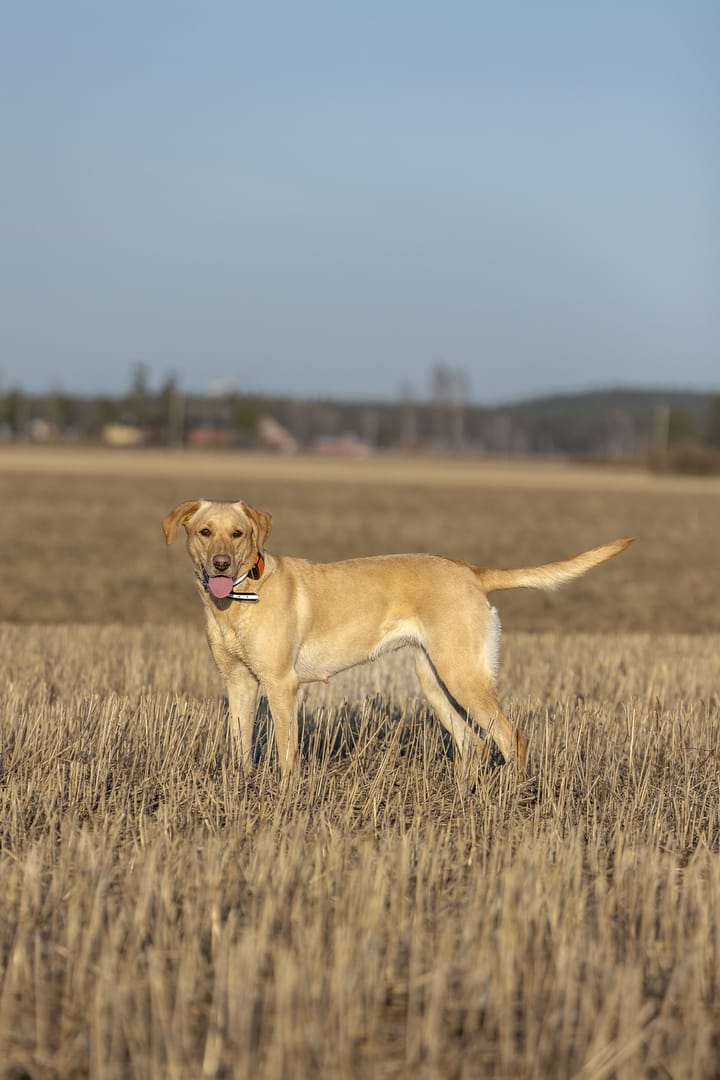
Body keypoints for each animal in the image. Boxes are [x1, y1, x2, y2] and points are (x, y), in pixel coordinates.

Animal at [162, 496, 634, 777]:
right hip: (434, 680)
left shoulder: (281, 685)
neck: (238, 601)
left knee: (510, 739)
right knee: (474, 746)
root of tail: (470, 571)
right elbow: (240, 745)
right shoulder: (238, 682)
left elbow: (287, 754)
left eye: (238, 534)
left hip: (463, 676)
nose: (221, 564)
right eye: (205, 532)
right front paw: (241, 791)